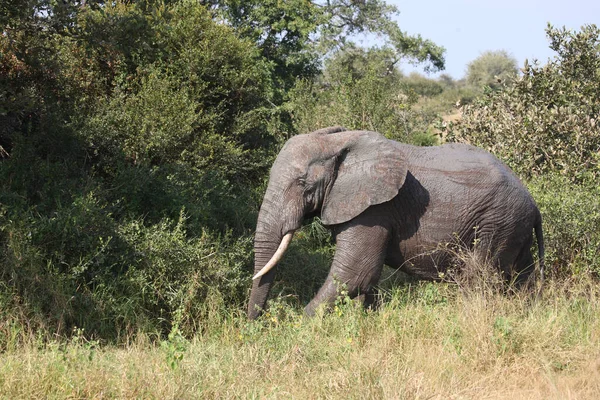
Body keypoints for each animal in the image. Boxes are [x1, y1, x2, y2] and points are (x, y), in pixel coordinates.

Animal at [247, 126, 544, 320]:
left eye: (302, 183)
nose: (256, 325)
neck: (338, 143)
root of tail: (533, 203)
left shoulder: (375, 208)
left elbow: (355, 273)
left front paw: (300, 327)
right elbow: (364, 278)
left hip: (497, 222)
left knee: (478, 278)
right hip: (513, 226)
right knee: (520, 277)